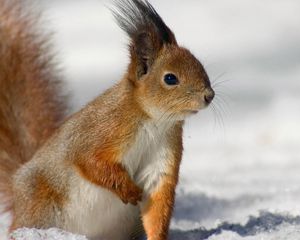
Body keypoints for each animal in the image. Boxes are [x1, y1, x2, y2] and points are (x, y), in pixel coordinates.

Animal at [0, 0, 216, 240]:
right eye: (170, 78)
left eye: (199, 65)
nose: (209, 95)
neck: (155, 121)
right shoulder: (102, 129)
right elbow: (91, 161)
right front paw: (129, 190)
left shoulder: (163, 155)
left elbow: (157, 201)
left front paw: (157, 236)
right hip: (41, 208)